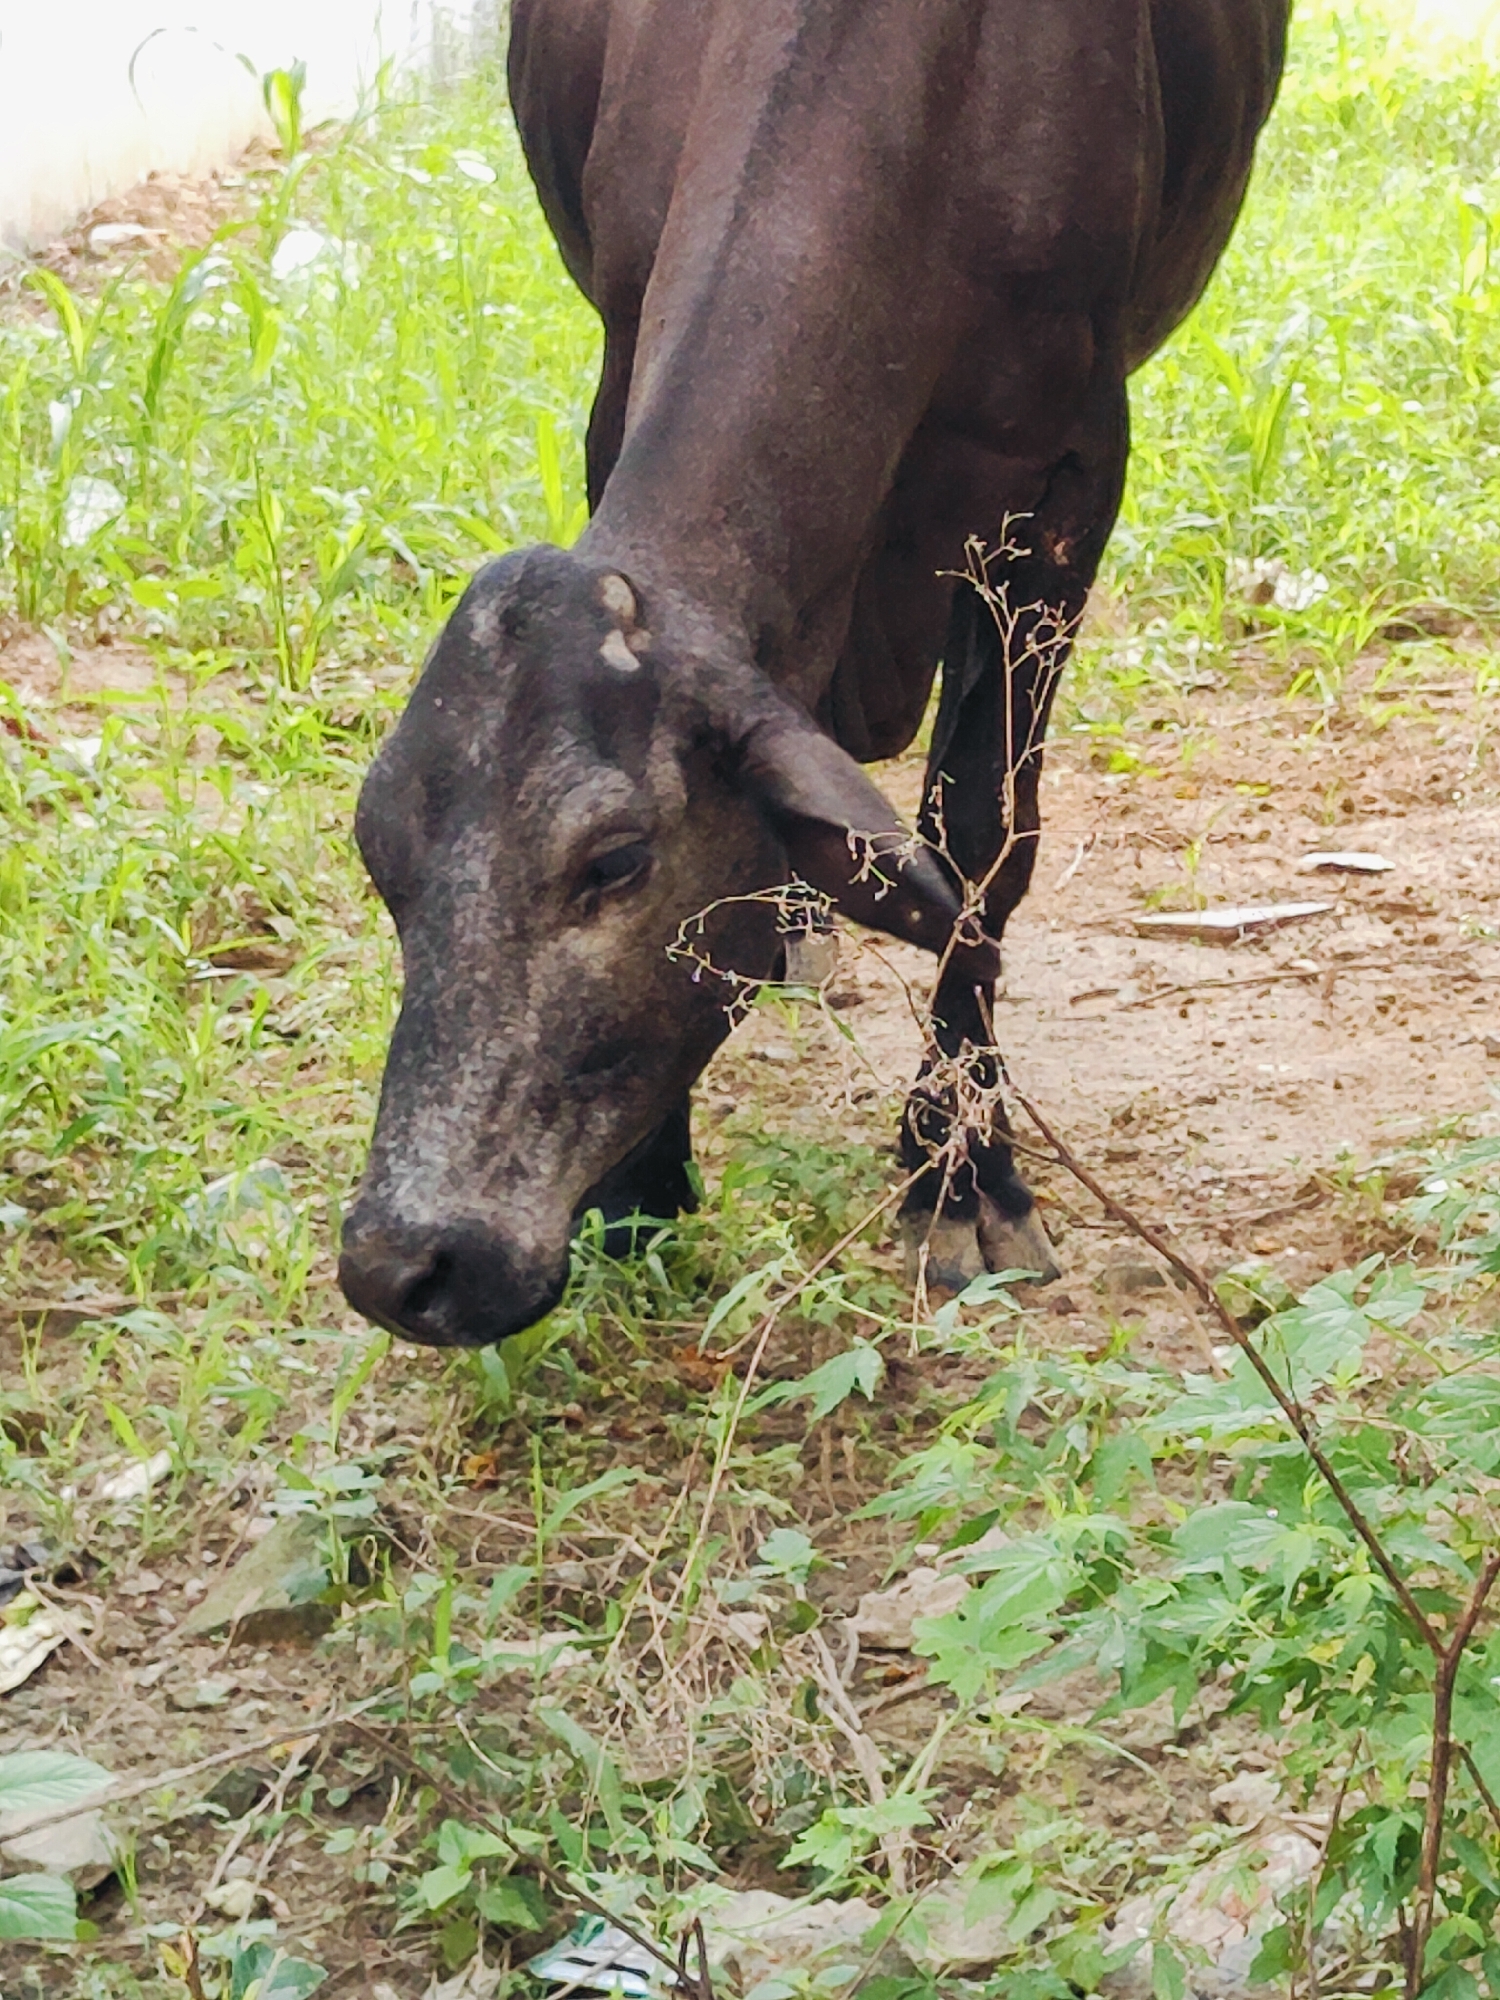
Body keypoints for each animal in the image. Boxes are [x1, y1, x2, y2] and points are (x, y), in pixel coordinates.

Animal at [339, 0, 1290, 1348]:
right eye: (384, 860)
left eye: (615, 860)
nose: (404, 1264)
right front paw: (642, 1183)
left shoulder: (1066, 489)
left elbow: (980, 838)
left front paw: (962, 1171)